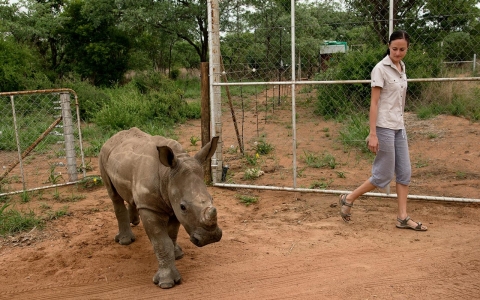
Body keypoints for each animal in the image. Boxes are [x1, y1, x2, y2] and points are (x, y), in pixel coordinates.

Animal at [100, 126, 224, 288]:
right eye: (183, 207)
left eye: (212, 199)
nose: (211, 238)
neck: (167, 175)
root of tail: (112, 137)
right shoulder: (150, 207)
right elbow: (161, 242)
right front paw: (166, 283)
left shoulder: (173, 205)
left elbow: (171, 236)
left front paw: (176, 255)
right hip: (103, 155)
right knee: (114, 196)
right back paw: (125, 241)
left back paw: (135, 221)